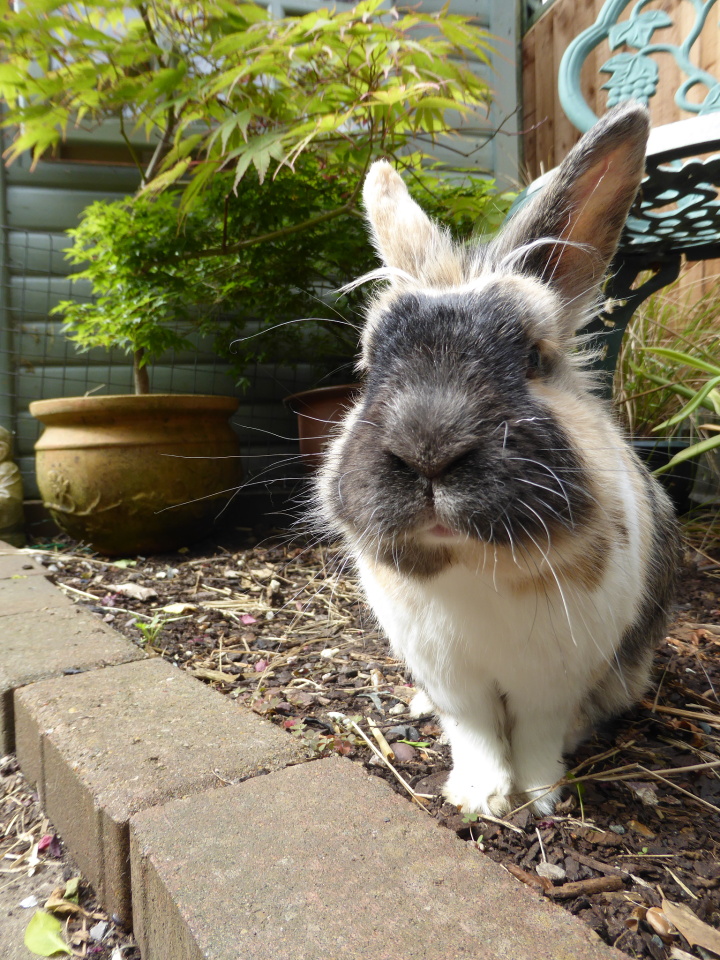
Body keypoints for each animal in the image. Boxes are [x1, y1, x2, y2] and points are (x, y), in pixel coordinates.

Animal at [316, 102, 681, 817]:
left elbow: (537, 730)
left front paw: (540, 798)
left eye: (535, 357)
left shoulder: (555, 675)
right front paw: (478, 798)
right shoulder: (452, 676)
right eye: (368, 366)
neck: (476, 565)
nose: (428, 450)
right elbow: (476, 730)